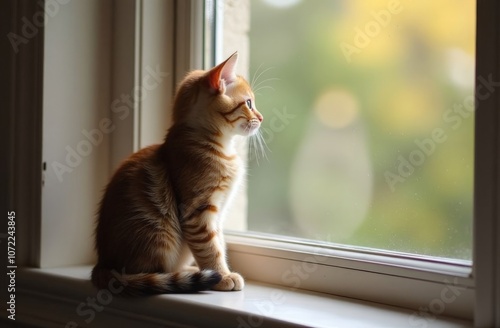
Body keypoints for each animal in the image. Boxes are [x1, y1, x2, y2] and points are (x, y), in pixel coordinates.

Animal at [91, 52, 262, 296]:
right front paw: (222, 275)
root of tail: (102, 263)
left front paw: (221, 271)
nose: (262, 117)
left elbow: (219, 242)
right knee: (150, 274)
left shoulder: (217, 214)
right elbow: (211, 248)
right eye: (248, 103)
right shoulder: (198, 212)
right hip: (158, 238)